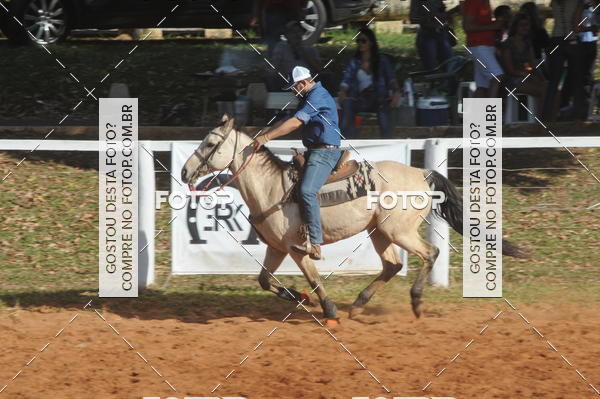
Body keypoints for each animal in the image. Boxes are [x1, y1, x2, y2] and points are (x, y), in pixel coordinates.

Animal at [179, 115, 524, 324]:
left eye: (211, 144)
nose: (184, 172)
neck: (271, 187)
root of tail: (422, 173)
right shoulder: (277, 248)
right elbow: (264, 280)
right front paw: (299, 298)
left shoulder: (296, 249)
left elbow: (315, 279)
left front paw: (328, 309)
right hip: (379, 232)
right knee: (392, 265)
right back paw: (359, 304)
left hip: (398, 231)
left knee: (430, 253)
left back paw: (415, 302)